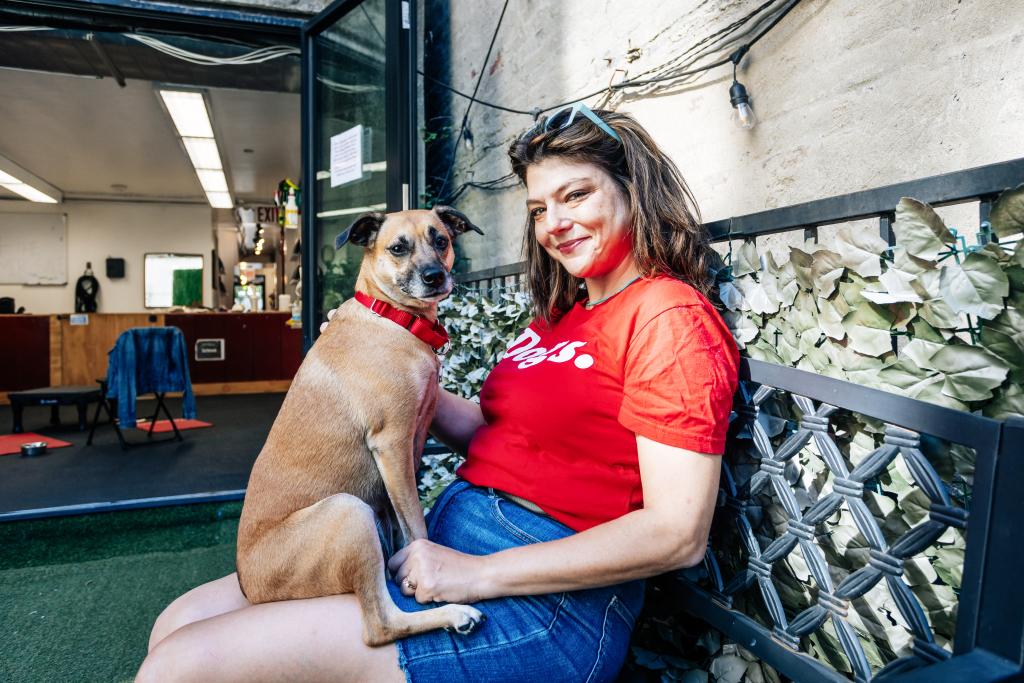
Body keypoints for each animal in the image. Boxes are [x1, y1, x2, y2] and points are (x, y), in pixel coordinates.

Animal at [235, 206, 483, 647]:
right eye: (398, 248)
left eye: (441, 240)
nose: (435, 276)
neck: (392, 318)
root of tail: (249, 585)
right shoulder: (393, 446)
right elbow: (417, 526)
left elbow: (403, 527)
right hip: (350, 511)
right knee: (379, 627)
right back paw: (455, 614)